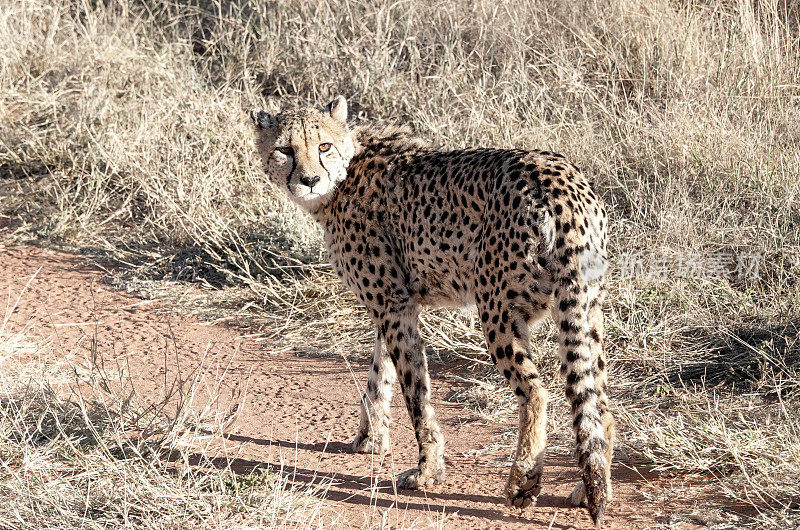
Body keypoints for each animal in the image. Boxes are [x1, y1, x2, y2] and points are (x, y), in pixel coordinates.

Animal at [253, 96, 616, 524]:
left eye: (323, 146)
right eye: (285, 149)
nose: (309, 180)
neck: (344, 175)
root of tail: (559, 178)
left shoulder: (393, 303)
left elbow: (415, 392)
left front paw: (427, 470)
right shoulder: (395, 303)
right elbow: (380, 372)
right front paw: (369, 438)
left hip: (497, 306)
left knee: (536, 390)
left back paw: (524, 481)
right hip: (586, 307)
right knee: (599, 402)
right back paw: (590, 488)